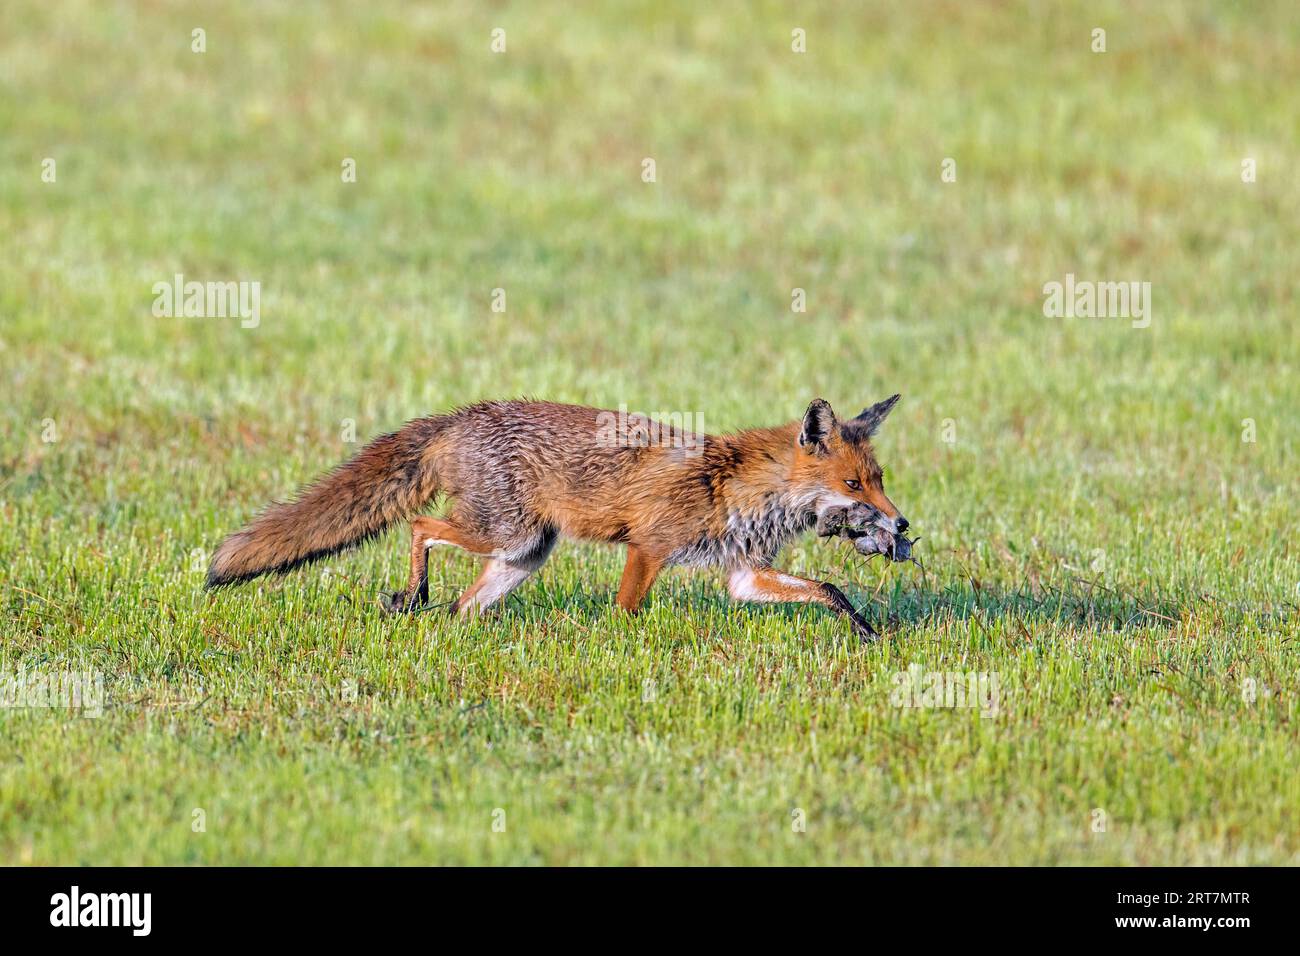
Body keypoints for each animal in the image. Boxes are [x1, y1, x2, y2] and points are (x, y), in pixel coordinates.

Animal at [208, 395, 909, 642]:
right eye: (853, 485)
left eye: (879, 481)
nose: (901, 527)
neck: (734, 484)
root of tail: (458, 415)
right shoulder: (647, 547)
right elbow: (628, 610)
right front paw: (622, 650)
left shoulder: (742, 573)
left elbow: (827, 588)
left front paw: (867, 631)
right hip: (507, 532)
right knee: (419, 528)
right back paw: (412, 595)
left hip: (523, 554)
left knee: (464, 606)